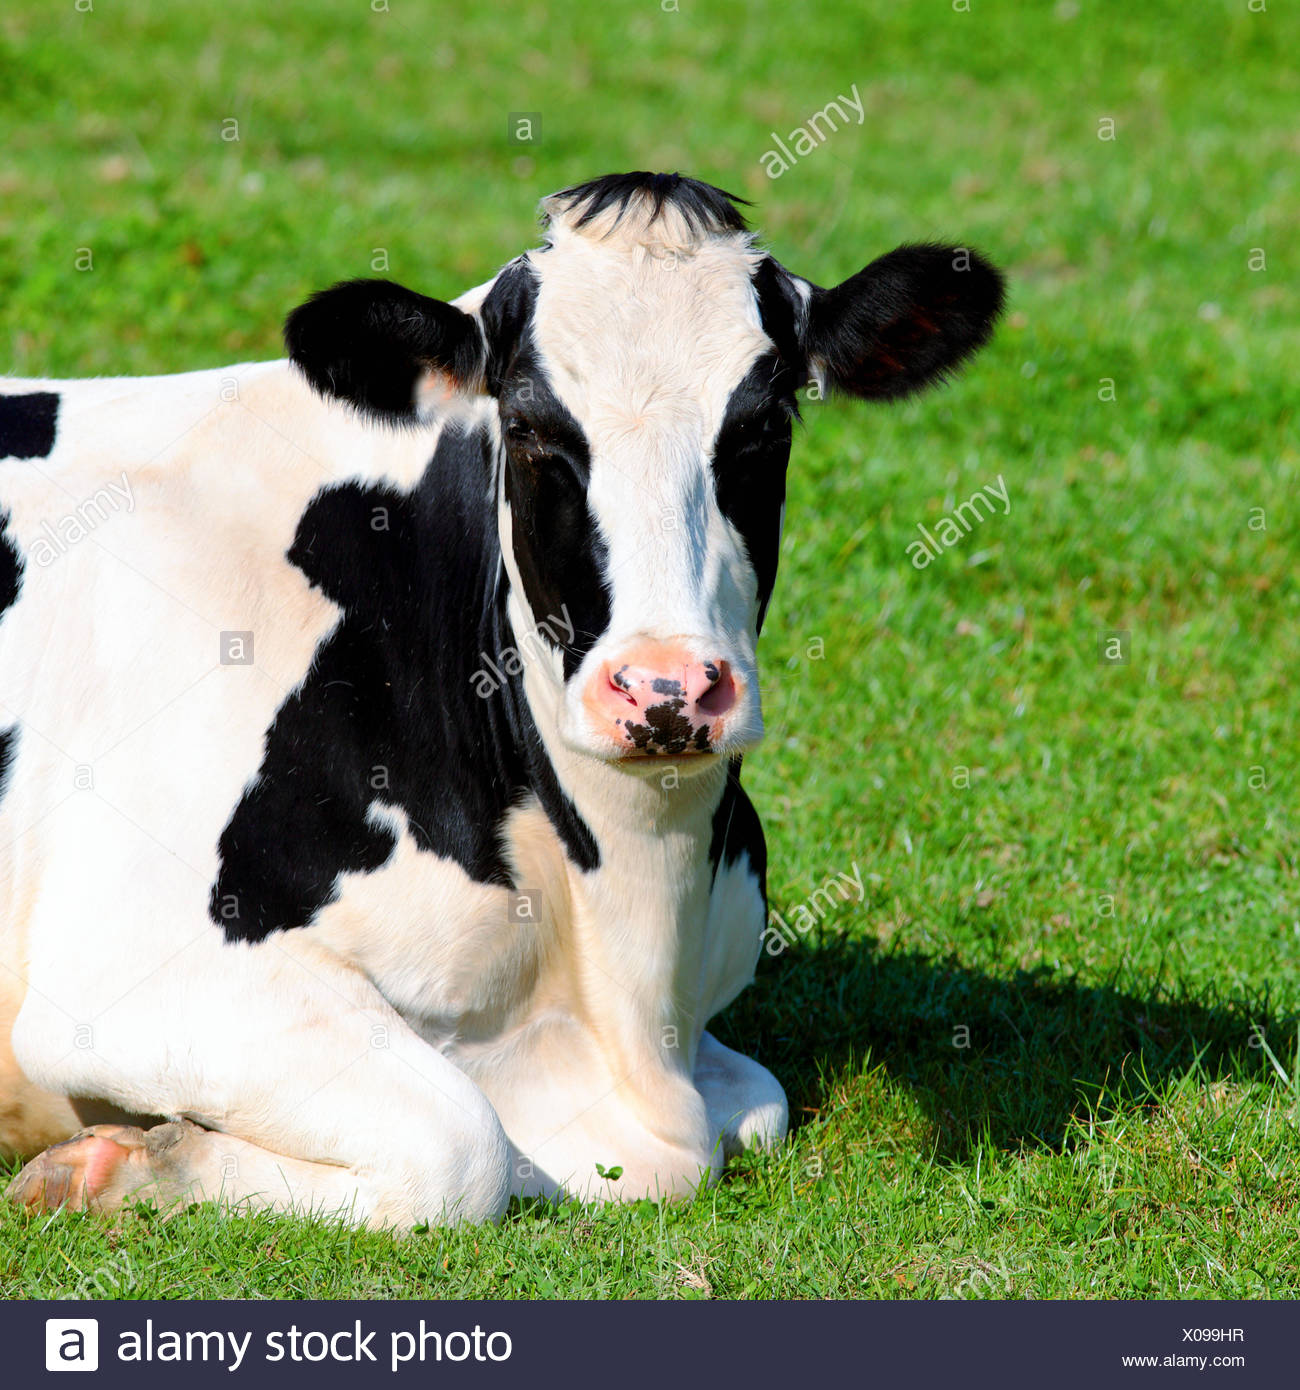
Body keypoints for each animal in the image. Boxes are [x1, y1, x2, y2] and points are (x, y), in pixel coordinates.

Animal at [0, 173, 1003, 1228]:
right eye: (528, 431)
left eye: (767, 426)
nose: (667, 689)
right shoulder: (127, 974)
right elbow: (460, 1147)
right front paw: (119, 1165)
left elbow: (759, 1105)